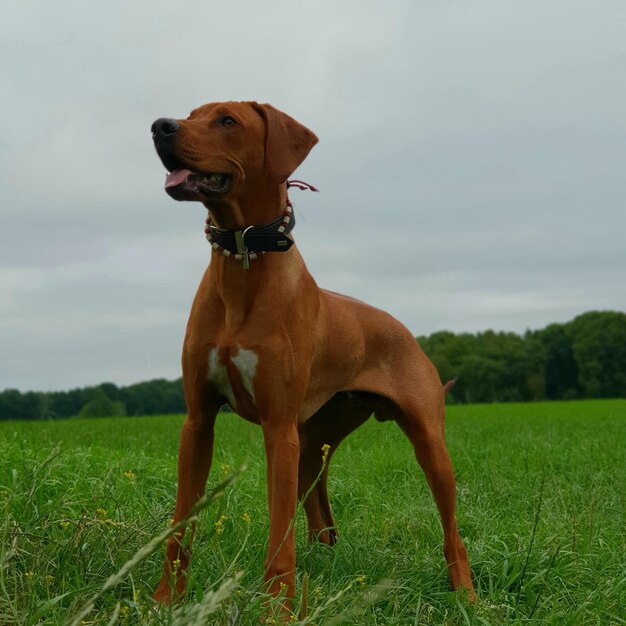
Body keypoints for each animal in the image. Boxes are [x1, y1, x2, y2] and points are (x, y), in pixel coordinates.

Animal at [151, 100, 472, 608]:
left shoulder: (278, 428)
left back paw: (466, 594)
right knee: (320, 510)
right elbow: (181, 528)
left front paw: (276, 611)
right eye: (191, 113)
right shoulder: (198, 423)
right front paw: (167, 601)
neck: (244, 257)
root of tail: (404, 329)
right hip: (314, 442)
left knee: (452, 530)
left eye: (227, 120)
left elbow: (278, 536)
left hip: (428, 444)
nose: (160, 127)